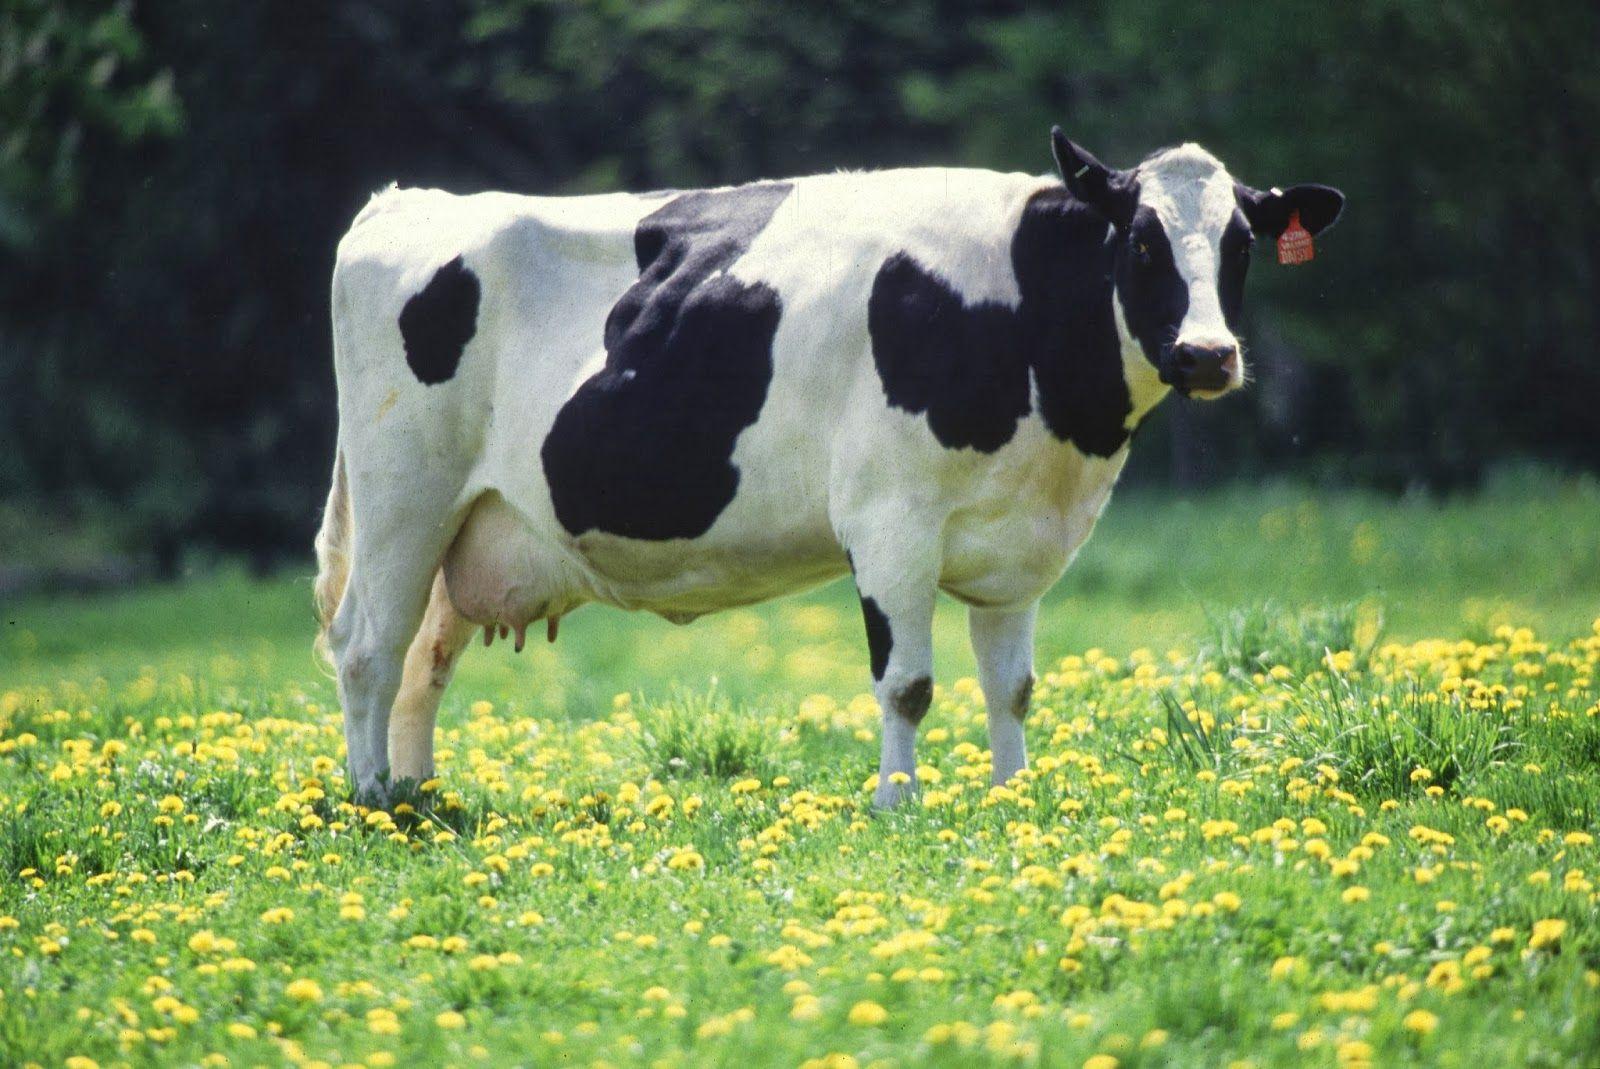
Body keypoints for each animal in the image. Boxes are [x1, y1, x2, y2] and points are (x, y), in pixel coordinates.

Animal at [313, 128, 1343, 808]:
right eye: (1141, 239)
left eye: (1241, 244)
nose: (1208, 354)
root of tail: (404, 201)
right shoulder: (891, 521)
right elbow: (909, 683)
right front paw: (897, 804)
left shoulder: (1020, 545)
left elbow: (1011, 685)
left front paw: (1013, 796)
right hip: (404, 496)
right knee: (367, 646)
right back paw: (373, 800)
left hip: (469, 523)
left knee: (424, 659)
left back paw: (420, 794)